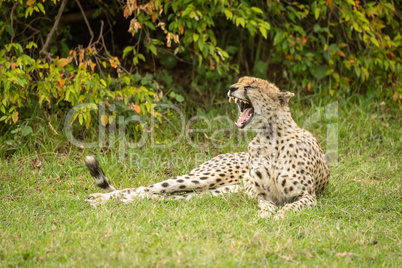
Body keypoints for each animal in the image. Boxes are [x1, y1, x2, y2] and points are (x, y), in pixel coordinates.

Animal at [85, 76, 330, 218]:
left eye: (251, 85)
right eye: (239, 80)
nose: (231, 88)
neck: (269, 136)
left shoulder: (308, 196)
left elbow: (292, 207)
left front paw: (279, 215)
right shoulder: (262, 194)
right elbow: (265, 205)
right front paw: (266, 214)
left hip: (214, 192)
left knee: (162, 197)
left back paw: (113, 202)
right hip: (205, 178)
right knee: (146, 188)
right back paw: (97, 199)